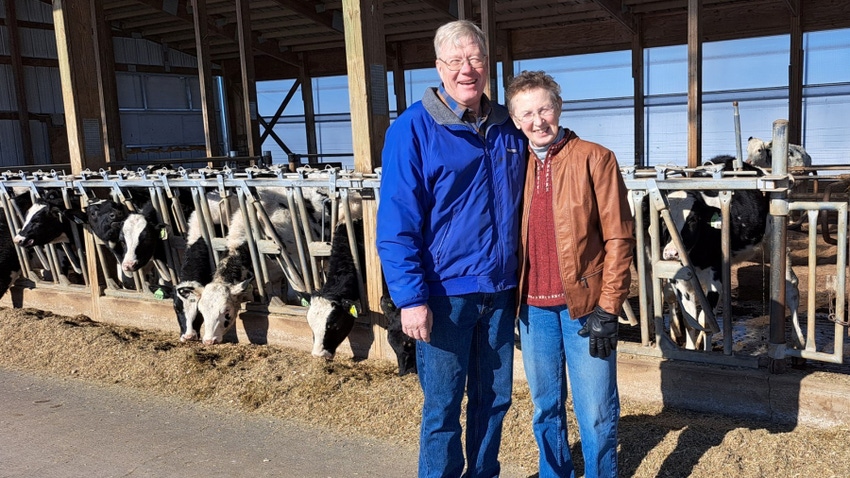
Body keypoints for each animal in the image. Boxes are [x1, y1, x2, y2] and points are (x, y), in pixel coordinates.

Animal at [656, 157, 796, 348]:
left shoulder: (715, 278)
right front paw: (691, 349)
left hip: (774, 240)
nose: (671, 253)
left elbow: (705, 320)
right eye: (663, 219)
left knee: (791, 286)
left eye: (693, 219)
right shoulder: (681, 281)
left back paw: (799, 342)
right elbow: (691, 322)